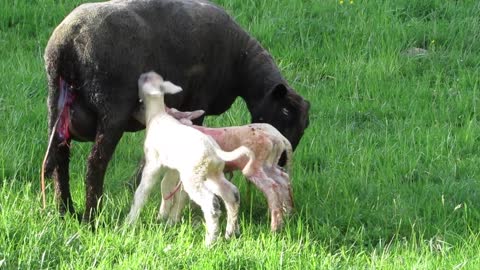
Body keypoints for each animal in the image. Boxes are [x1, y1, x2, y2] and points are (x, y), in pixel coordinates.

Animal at [127, 70, 255, 247]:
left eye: (145, 79)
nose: (142, 74)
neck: (156, 115)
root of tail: (214, 150)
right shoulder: (172, 168)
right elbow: (166, 187)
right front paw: (163, 217)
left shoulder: (153, 163)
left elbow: (142, 192)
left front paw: (130, 221)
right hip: (213, 174)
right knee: (232, 194)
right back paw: (230, 232)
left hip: (193, 176)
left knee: (211, 203)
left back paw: (209, 242)